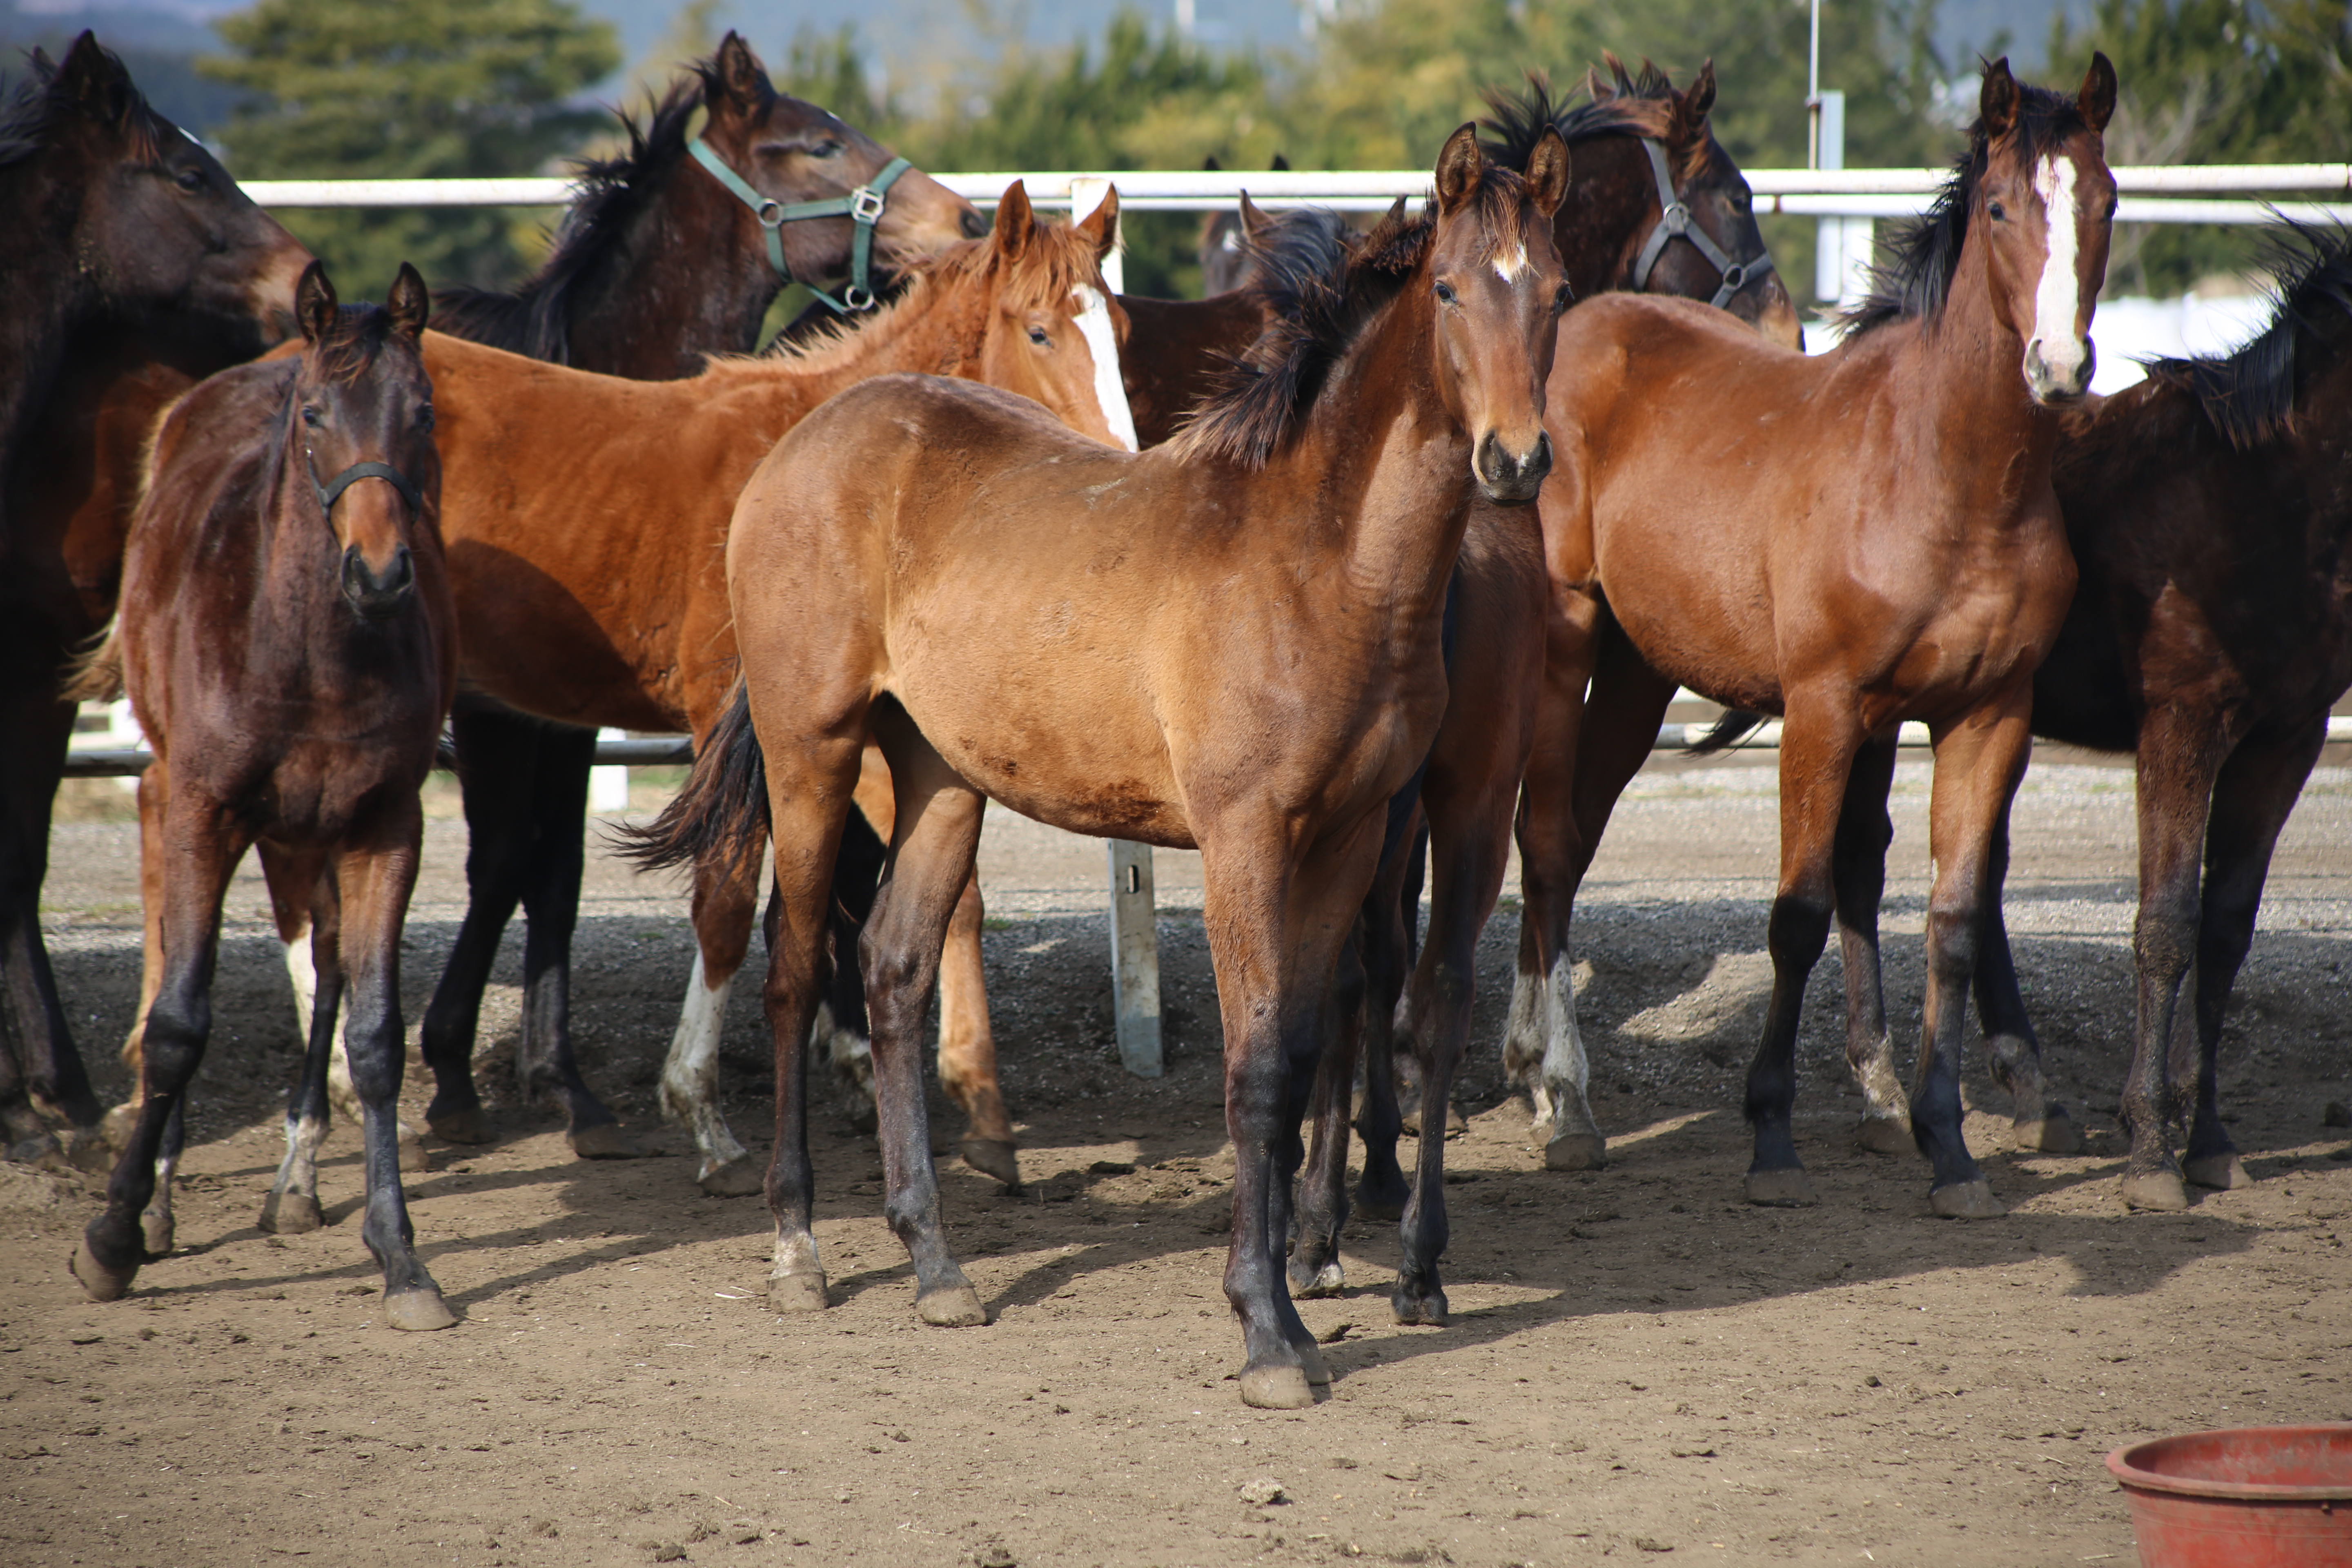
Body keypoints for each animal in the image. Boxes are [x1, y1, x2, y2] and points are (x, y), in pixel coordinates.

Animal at [69, 267, 454, 1326]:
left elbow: (374, 1034)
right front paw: (114, 1237)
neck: (312, 651)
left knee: (319, 954)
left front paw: (402, 1258)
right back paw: (157, 1198)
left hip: (306, 836)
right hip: (177, 799)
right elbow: (178, 1023)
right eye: (315, 415)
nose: (381, 573)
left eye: (423, 411)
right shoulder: (205, 809)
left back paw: (295, 1185)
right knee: (168, 961)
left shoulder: (384, 824)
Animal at [635, 129, 1571, 1420]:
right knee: (789, 968)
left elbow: (1310, 1046)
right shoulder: (1243, 841)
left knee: (892, 969)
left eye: (1558, 292)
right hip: (810, 750)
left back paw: (936, 1266)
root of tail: (805, 441)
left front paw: (1306, 1285)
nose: (1516, 459)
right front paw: (1266, 1328)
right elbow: (1255, 1068)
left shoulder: (1347, 838)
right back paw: (797, 1248)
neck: (1321, 561)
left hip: (941, 776)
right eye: (1445, 289)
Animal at [1515, 58, 2126, 1213]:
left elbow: (1950, 920)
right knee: (1540, 838)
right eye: (1997, 207)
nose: (2058, 365)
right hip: (1566, 645)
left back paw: (1540, 1078)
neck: (1943, 472)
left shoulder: (1986, 716)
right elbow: (1797, 912)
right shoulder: (1824, 707)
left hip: (1638, 674)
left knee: (1570, 835)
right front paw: (1770, 1135)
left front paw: (1945, 1143)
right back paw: (1560, 1099)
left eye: (2106, 201)